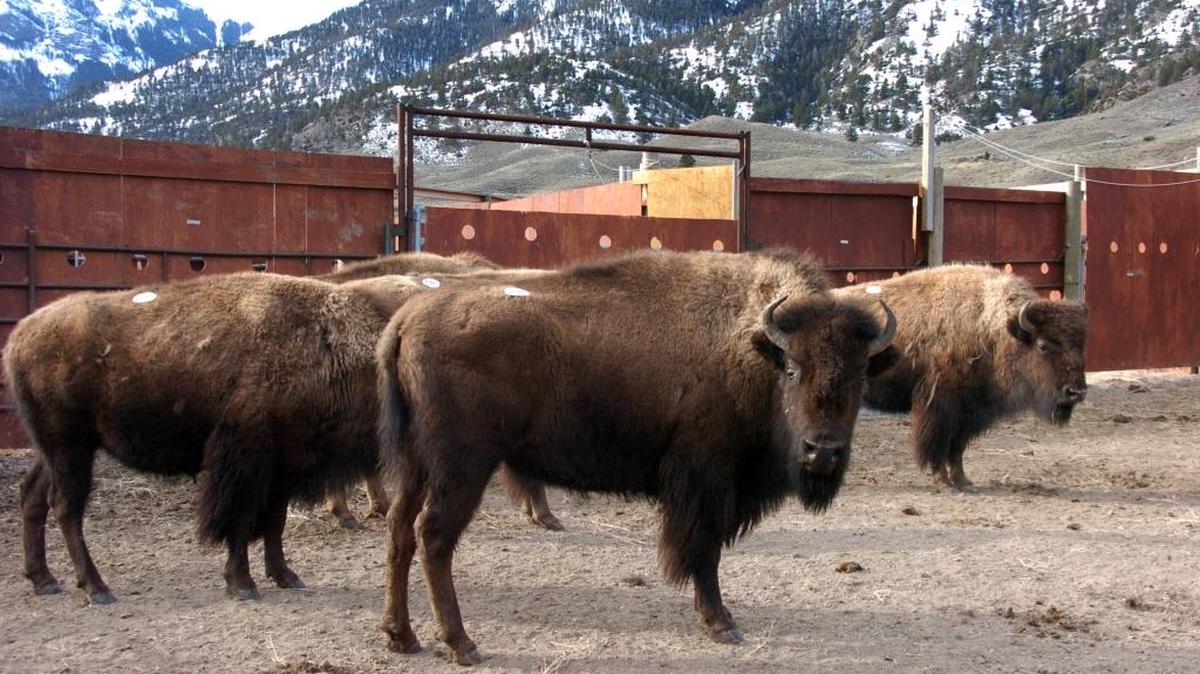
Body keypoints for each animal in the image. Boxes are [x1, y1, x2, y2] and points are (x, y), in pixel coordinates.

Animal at [376, 249, 897, 664]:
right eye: (792, 368)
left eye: (860, 375)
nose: (823, 451)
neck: (751, 345)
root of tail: (407, 319)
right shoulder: (706, 481)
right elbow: (704, 552)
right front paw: (720, 623)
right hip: (461, 468)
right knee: (433, 536)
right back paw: (462, 644)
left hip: (416, 466)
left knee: (400, 530)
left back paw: (402, 637)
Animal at [840, 264, 1088, 490]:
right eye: (1043, 345)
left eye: (1080, 345)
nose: (1076, 392)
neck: (991, 328)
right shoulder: (940, 409)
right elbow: (938, 445)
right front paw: (943, 480)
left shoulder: (968, 414)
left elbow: (956, 448)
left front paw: (962, 480)